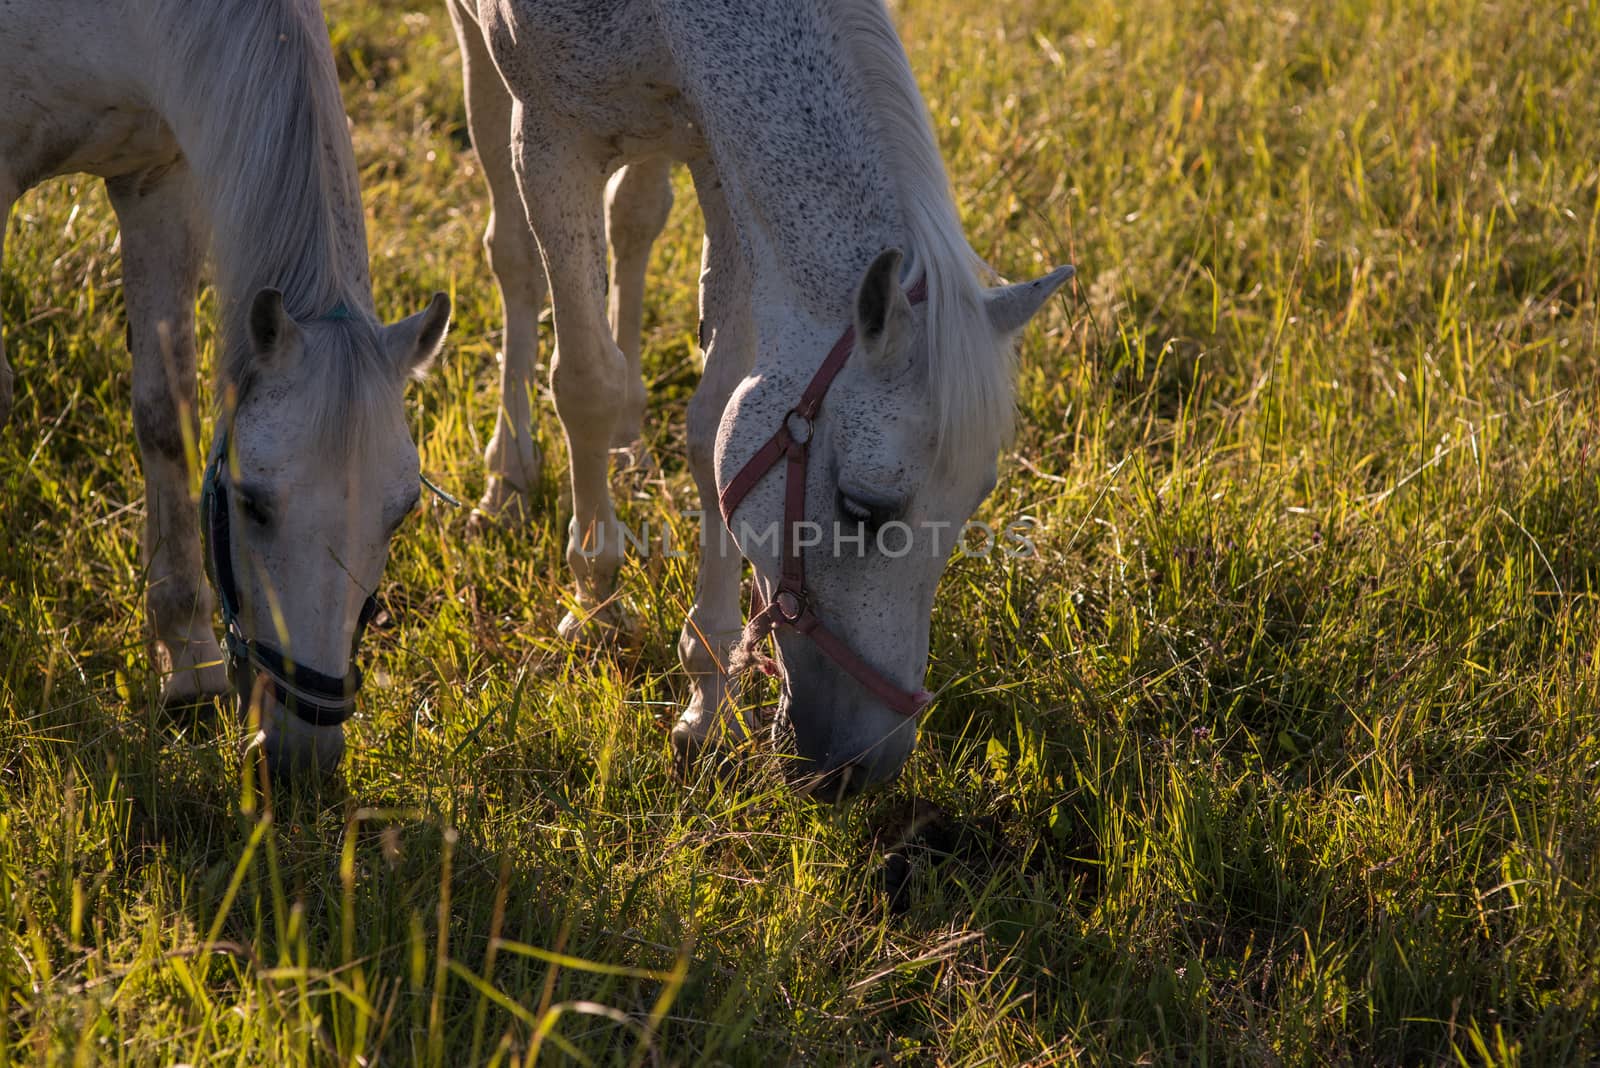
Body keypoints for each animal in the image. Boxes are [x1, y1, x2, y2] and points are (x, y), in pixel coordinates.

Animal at [1, 0, 451, 770]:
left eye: (400, 515)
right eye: (252, 503)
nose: (304, 757)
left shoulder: (157, 181)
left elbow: (164, 412)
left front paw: (187, 660)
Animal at [451, 0, 1075, 793]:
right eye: (863, 508)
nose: (866, 766)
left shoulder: (723, 162)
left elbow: (712, 425)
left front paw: (707, 694)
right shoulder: (550, 137)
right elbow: (585, 383)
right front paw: (595, 604)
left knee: (635, 217)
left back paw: (628, 445)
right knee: (514, 256)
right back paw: (507, 477)